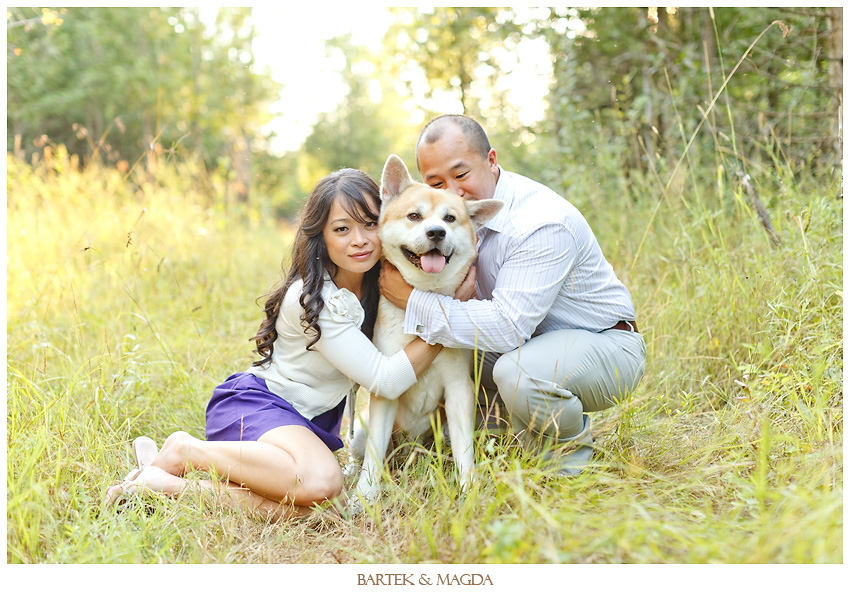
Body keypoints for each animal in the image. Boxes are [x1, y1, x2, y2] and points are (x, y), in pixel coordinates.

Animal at [346, 155, 500, 508]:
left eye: (450, 218)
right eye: (414, 216)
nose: (436, 232)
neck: (425, 296)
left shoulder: (458, 388)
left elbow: (464, 451)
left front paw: (468, 489)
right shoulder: (384, 391)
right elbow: (373, 452)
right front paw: (364, 494)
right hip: (361, 427)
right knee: (360, 450)